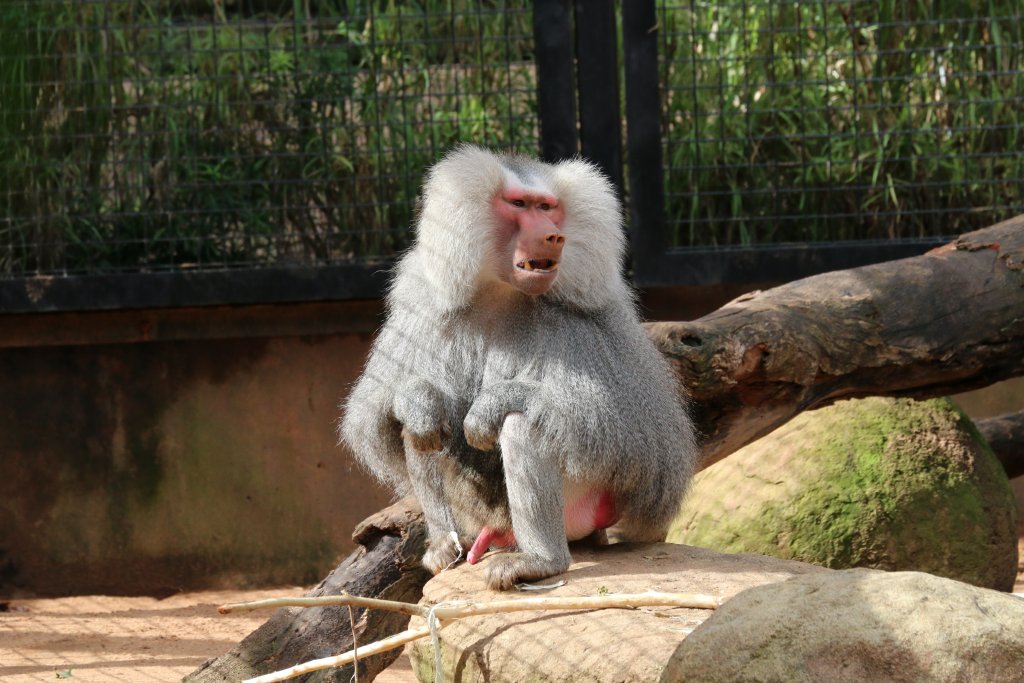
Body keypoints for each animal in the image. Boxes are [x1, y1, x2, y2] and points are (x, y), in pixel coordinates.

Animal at [340, 145, 698, 590]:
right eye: (519, 204)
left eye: (548, 207)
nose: (553, 235)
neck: (500, 292)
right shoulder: (420, 299)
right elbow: (377, 407)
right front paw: (418, 400)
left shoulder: (591, 320)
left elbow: (636, 433)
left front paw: (492, 404)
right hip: (480, 516)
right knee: (421, 428)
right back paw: (444, 544)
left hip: (584, 502)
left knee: (529, 422)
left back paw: (540, 561)